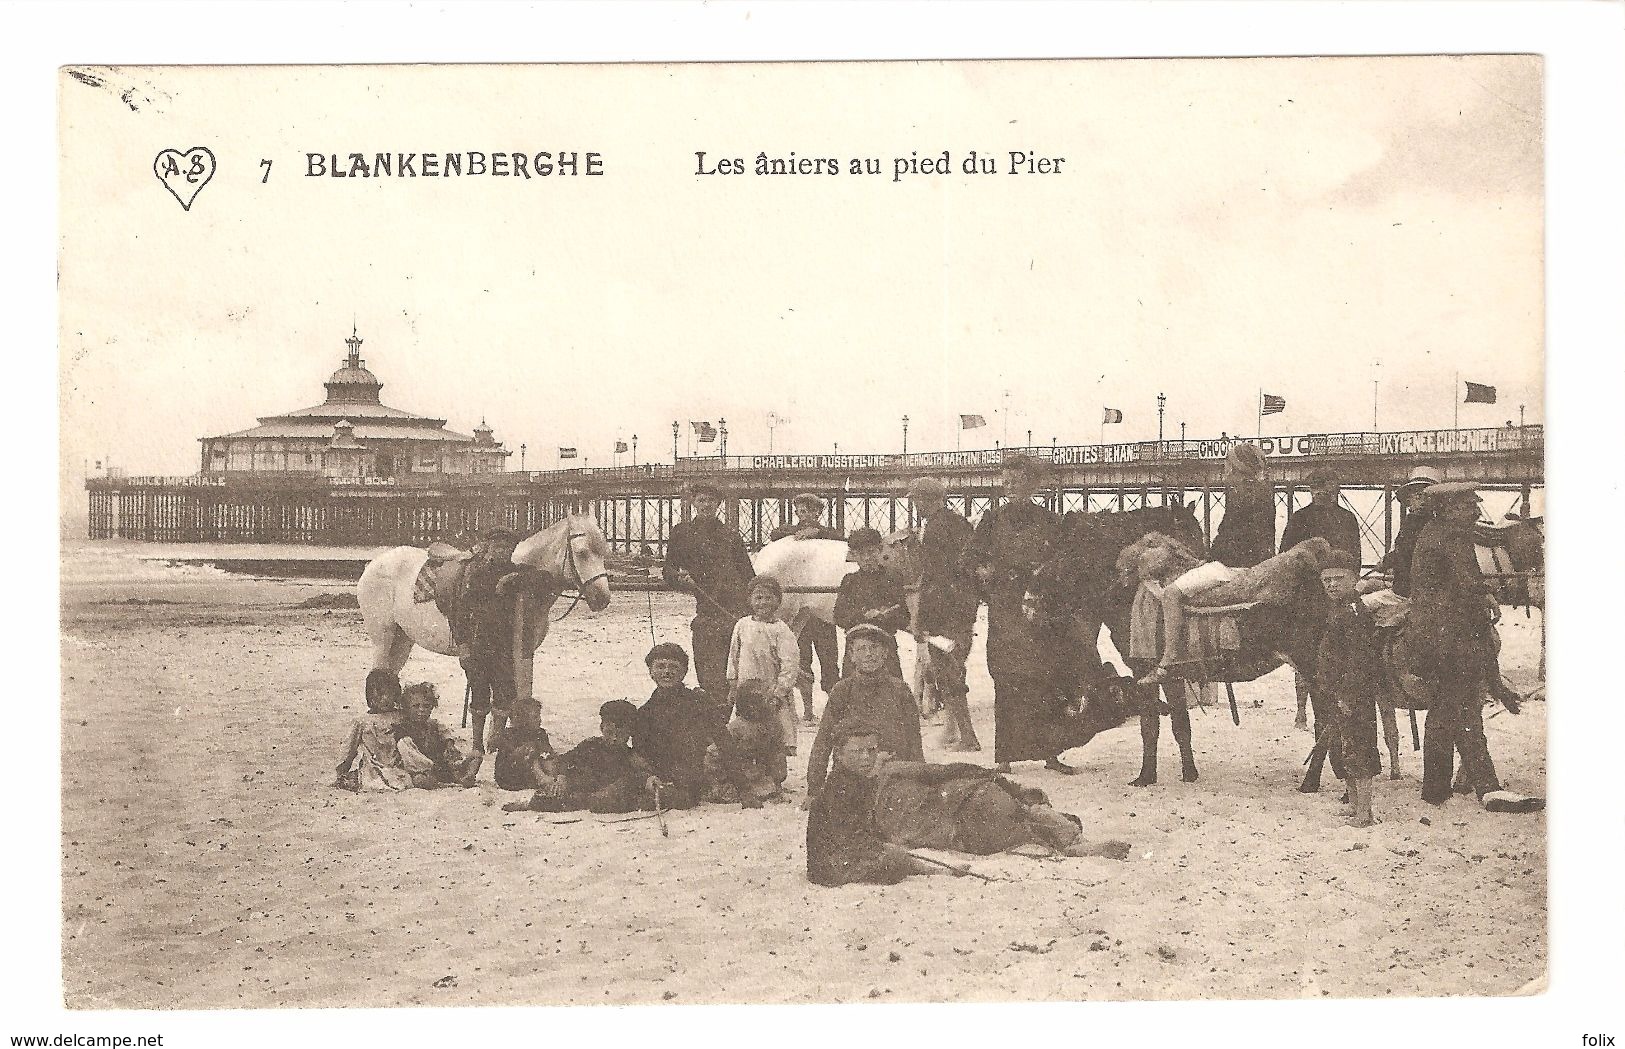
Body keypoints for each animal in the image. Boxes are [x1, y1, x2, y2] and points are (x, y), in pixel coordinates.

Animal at [355, 516, 611, 746]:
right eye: (582, 552)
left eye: (604, 553)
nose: (603, 598)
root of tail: (374, 563)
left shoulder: (523, 652)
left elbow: (515, 697)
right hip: (384, 638)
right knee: (379, 674)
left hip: (402, 639)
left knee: (390, 673)